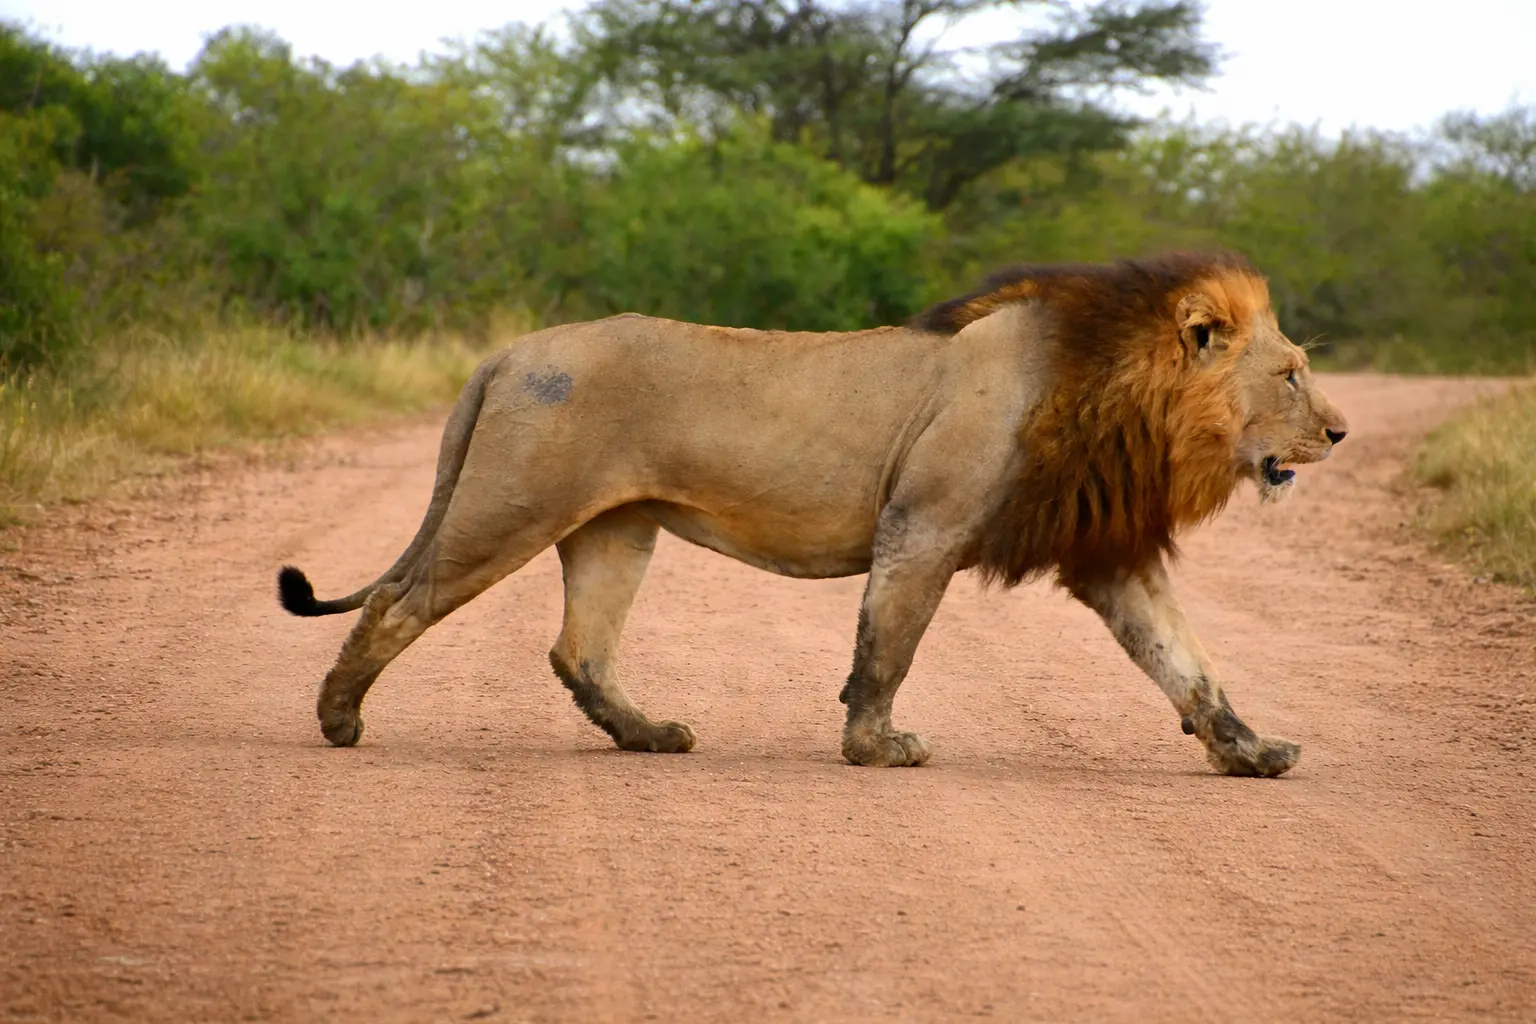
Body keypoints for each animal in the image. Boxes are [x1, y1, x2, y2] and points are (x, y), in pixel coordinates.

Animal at [277, 250, 1348, 777]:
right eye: (1291, 375)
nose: (1340, 433)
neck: (1123, 395)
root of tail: (508, 350)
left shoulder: (1107, 553)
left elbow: (1187, 664)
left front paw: (1251, 753)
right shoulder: (924, 523)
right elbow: (887, 648)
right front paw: (876, 749)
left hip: (616, 528)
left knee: (578, 650)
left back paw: (651, 737)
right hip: (510, 508)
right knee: (398, 605)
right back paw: (337, 721)